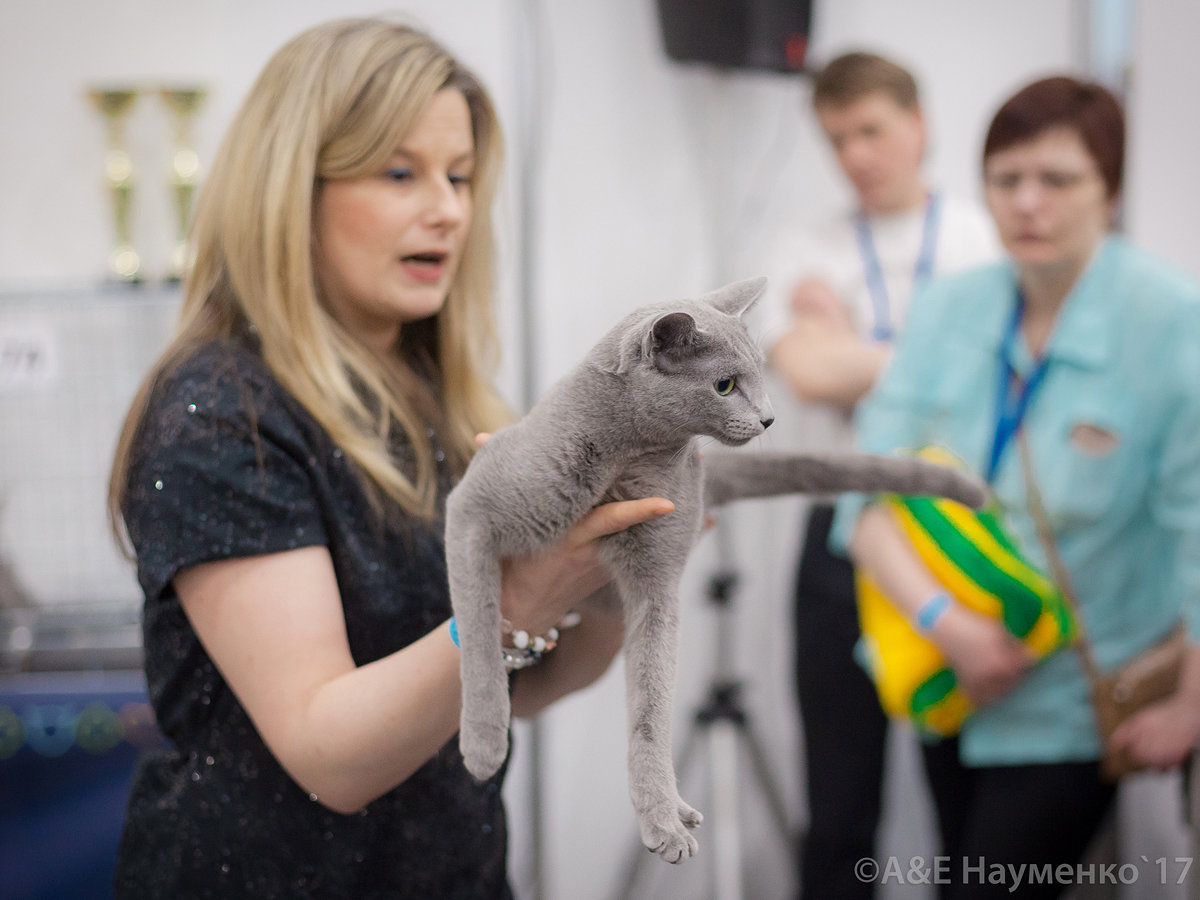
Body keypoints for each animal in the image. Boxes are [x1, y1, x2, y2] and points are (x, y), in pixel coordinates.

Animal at [444, 277, 984, 868]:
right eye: (724, 385)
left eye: (762, 373)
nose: (770, 418)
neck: (630, 457)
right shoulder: (471, 506)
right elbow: (479, 630)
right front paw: (484, 745)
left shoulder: (658, 580)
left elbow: (652, 708)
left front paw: (660, 817)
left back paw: (680, 810)